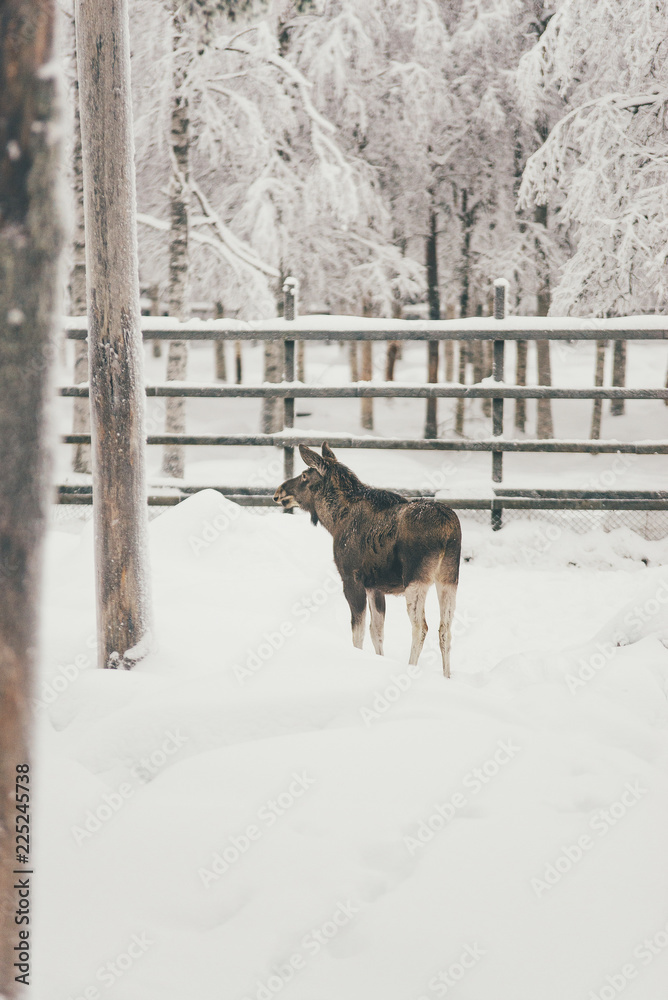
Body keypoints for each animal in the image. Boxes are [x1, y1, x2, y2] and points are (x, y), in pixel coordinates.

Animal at [274, 443, 461, 677]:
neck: (334, 521)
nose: (278, 492)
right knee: (445, 629)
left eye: (305, 475)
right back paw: (447, 677)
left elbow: (358, 632)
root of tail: (448, 531)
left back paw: (410, 669)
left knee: (421, 627)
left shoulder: (351, 578)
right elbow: (376, 631)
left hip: (416, 579)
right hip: (449, 578)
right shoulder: (375, 586)